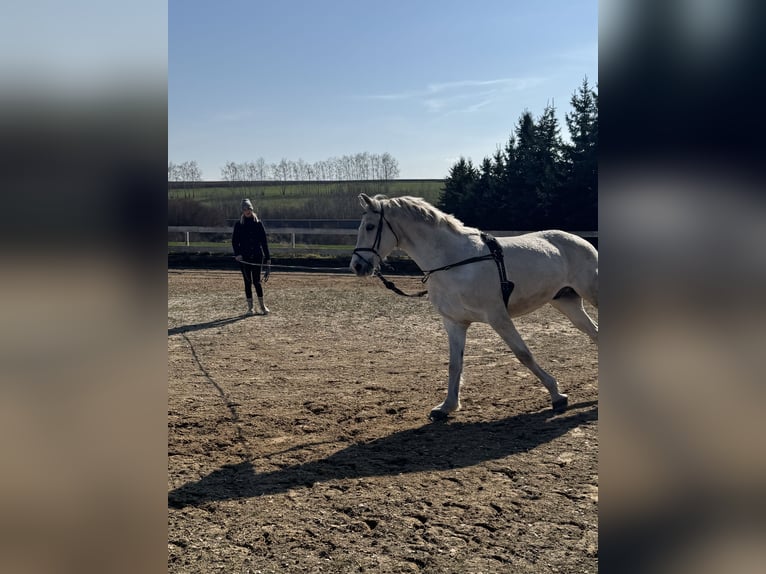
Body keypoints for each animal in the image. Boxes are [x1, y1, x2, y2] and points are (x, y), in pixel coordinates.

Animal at [350, 193, 598, 421]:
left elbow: (523, 354)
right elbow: (454, 364)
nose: (357, 266)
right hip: (567, 303)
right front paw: (446, 406)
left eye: (370, 226)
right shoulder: (454, 323)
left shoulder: (498, 317)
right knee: (594, 333)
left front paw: (557, 395)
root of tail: (582, 242)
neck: (453, 262)